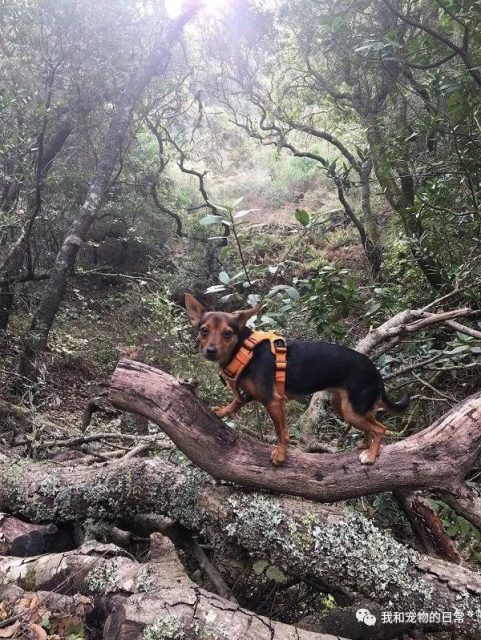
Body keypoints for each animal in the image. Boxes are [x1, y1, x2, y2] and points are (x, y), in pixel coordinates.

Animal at [185, 294, 408, 464]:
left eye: (227, 333)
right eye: (204, 330)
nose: (210, 351)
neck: (243, 350)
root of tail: (374, 370)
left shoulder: (273, 402)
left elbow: (282, 432)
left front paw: (281, 455)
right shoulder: (249, 394)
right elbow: (235, 403)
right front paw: (222, 411)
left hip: (351, 410)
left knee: (380, 428)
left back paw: (370, 455)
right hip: (347, 407)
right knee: (372, 424)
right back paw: (365, 445)